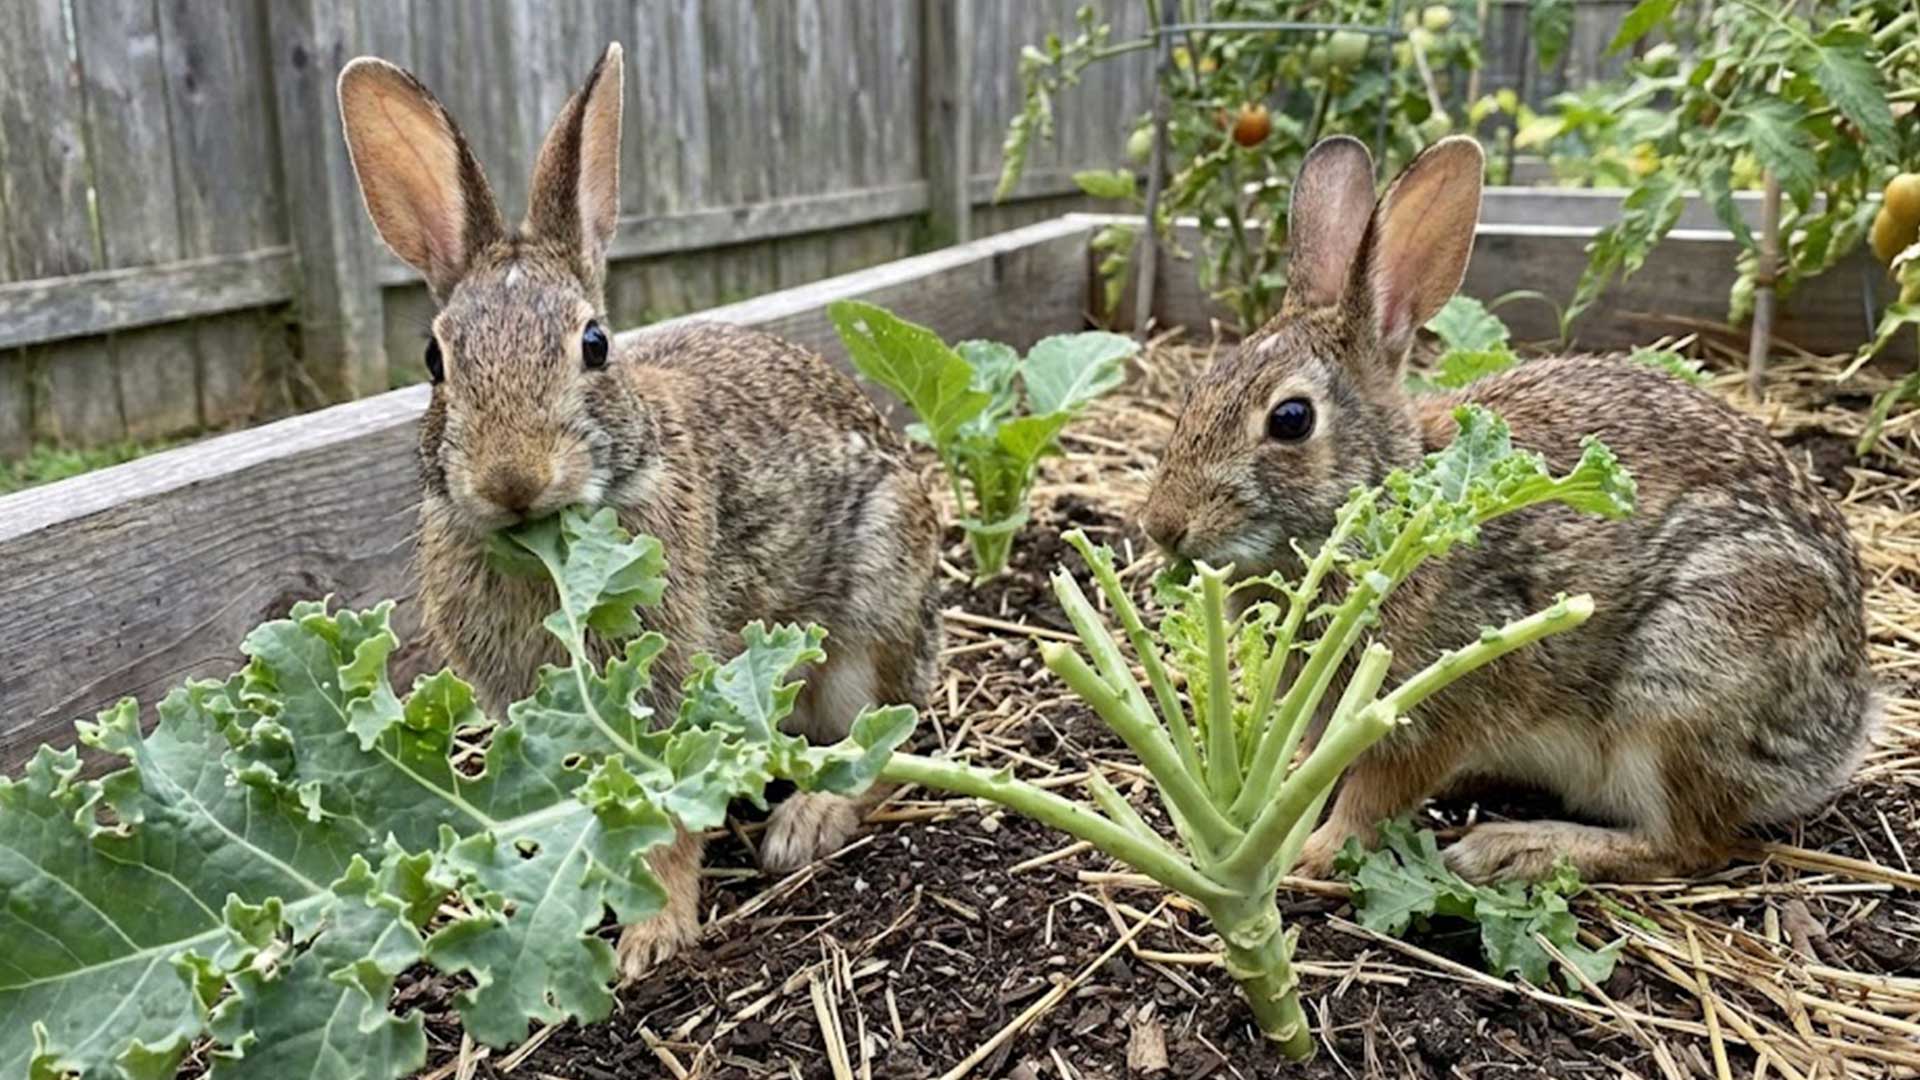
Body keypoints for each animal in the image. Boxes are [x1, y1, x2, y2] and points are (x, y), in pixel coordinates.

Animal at [337, 43, 942, 975]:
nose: (513, 479)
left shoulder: (667, 685)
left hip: (871, 615)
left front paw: (652, 935)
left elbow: (662, 814)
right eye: (435, 361)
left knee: (887, 741)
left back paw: (804, 822)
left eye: (595, 344)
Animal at [1140, 134, 1878, 885]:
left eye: (1291, 420)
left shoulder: (1441, 699)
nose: (1163, 525)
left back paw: (1514, 847)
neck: (1387, 506)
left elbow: (1377, 794)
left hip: (1683, 684)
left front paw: (1316, 852)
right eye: (1196, 390)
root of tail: (1843, 729)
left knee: (1684, 844)